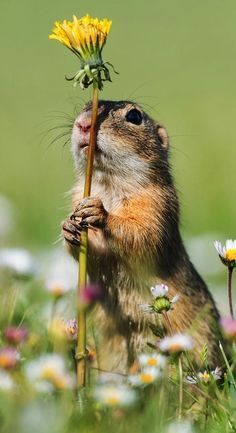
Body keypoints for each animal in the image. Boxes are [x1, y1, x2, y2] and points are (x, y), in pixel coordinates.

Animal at [61, 99, 224, 370]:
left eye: (135, 116)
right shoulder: (76, 196)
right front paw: (68, 227)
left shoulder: (156, 203)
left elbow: (142, 233)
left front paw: (99, 212)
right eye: (85, 106)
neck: (108, 184)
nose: (83, 124)